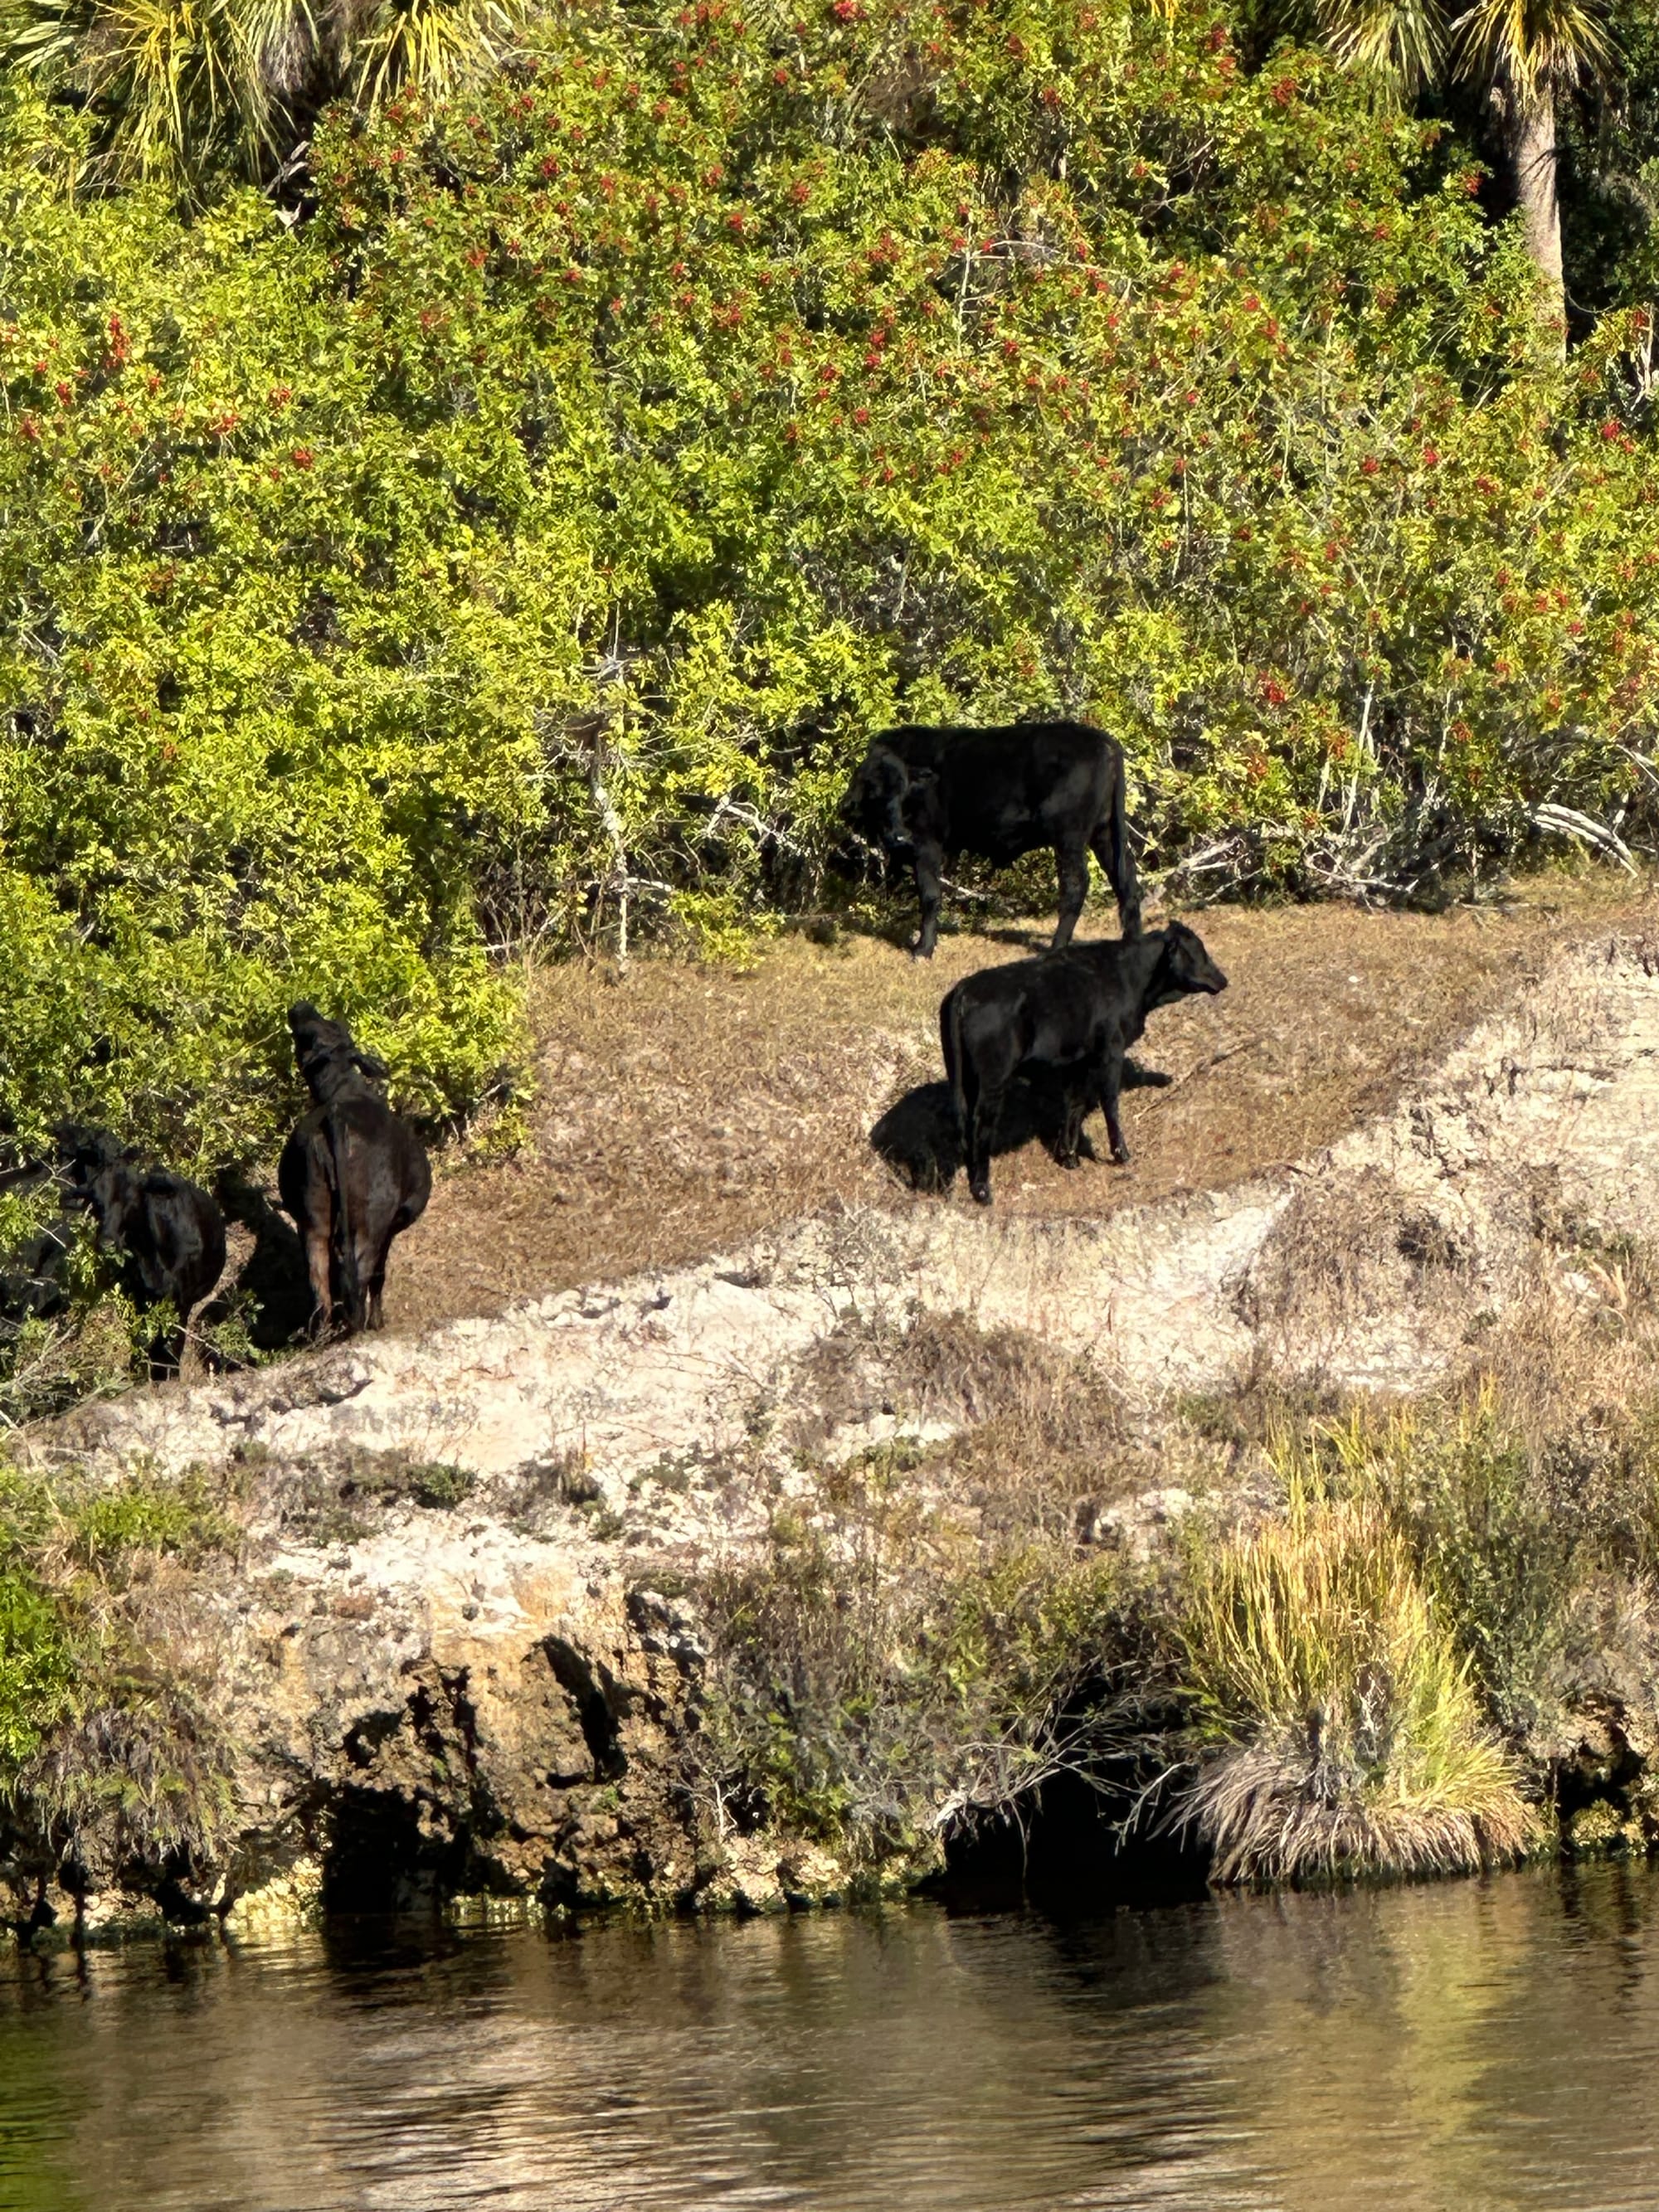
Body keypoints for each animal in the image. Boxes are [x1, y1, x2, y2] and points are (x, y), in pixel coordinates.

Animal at [51, 1124, 227, 1367]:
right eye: (97, 1202)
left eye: (132, 1200)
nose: (107, 1243)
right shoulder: (136, 1296)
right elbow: (141, 1339)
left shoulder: (181, 1302)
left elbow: (169, 1347)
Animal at [278, 1003, 431, 1337]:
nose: (300, 1006)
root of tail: (335, 1113)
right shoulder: (392, 1225)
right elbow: (379, 1274)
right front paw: (378, 1320)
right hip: (374, 1216)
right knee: (360, 1272)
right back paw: (361, 1325)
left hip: (313, 1215)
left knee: (320, 1281)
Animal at [841, 719, 1142, 959]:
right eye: (875, 790)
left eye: (905, 790)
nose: (900, 836)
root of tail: (1103, 742)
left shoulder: (927, 844)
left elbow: (930, 895)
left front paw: (923, 949)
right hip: (1104, 834)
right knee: (1126, 881)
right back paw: (1133, 942)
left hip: (1069, 837)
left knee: (1076, 885)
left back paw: (1056, 948)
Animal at [939, 923, 1228, 1206]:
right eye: (1199, 951)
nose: (1223, 979)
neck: (1131, 979)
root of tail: (964, 990)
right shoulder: (1110, 1051)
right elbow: (1110, 1103)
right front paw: (1121, 1154)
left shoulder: (1078, 1061)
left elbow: (1074, 1105)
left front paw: (1069, 1156)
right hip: (993, 1079)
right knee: (980, 1125)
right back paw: (983, 1191)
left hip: (964, 1077)